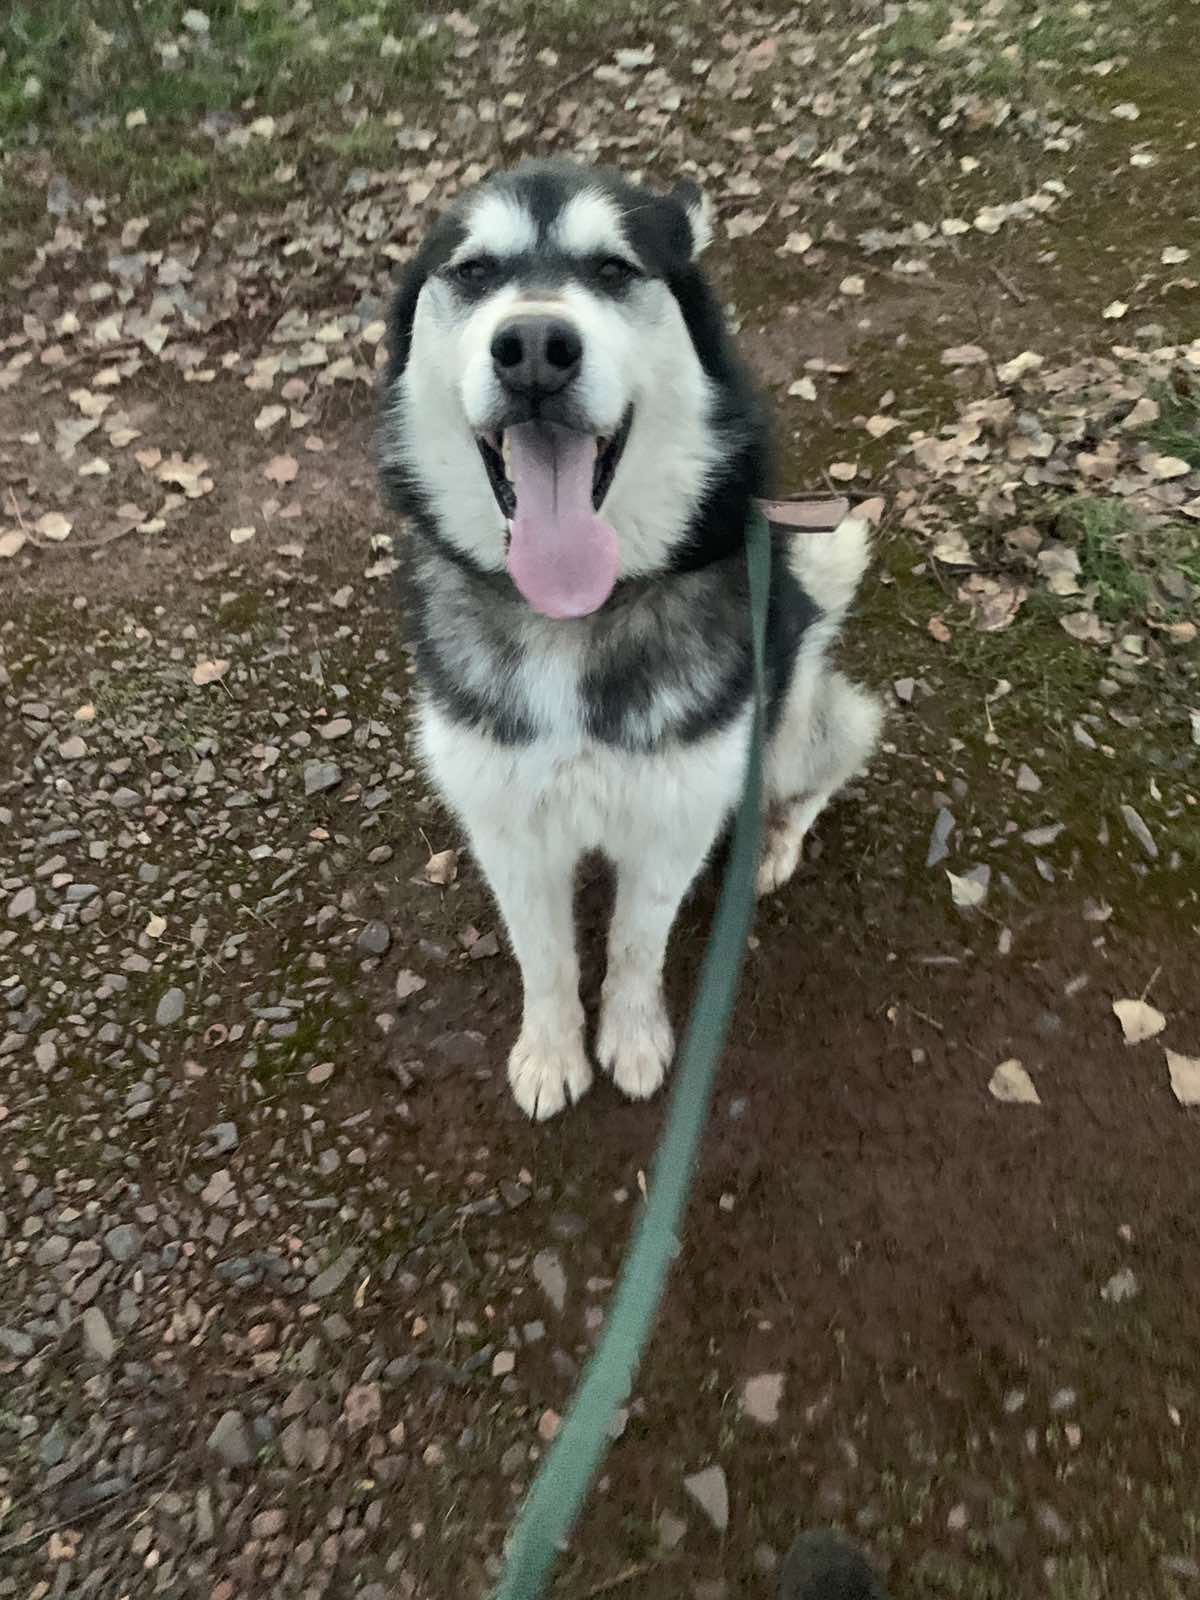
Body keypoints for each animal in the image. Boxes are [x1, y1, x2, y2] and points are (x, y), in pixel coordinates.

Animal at [382, 159, 883, 1113]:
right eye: (474, 272)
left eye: (614, 269)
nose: (534, 345)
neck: (574, 618)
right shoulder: (506, 824)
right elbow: (544, 956)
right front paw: (551, 1052)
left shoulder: (674, 820)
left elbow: (633, 945)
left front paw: (635, 1039)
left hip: (800, 718)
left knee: (814, 777)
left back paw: (771, 841)